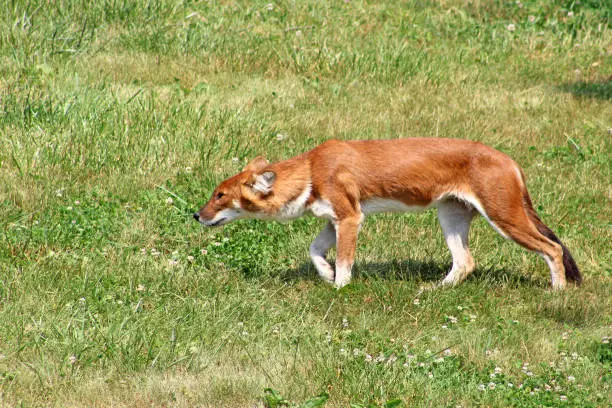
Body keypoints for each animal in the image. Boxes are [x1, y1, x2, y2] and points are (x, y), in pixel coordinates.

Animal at [194, 139, 580, 288]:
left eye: (220, 195)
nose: (196, 216)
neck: (312, 170)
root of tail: (510, 160)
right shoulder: (333, 219)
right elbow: (314, 251)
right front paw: (325, 274)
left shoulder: (351, 218)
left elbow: (345, 261)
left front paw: (339, 288)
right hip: (450, 217)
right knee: (465, 262)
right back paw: (433, 290)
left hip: (505, 217)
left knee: (553, 248)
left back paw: (557, 292)